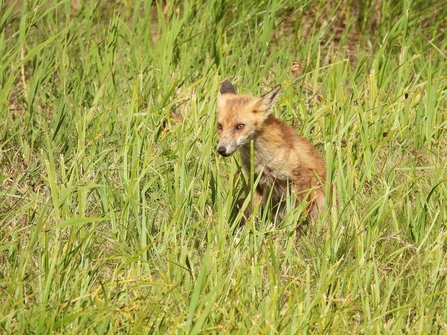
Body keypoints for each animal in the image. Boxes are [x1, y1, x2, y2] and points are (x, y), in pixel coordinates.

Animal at [215, 79, 328, 220]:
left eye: (240, 126)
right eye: (220, 126)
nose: (221, 150)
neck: (262, 158)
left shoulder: (301, 178)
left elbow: (296, 215)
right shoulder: (255, 179)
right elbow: (249, 213)